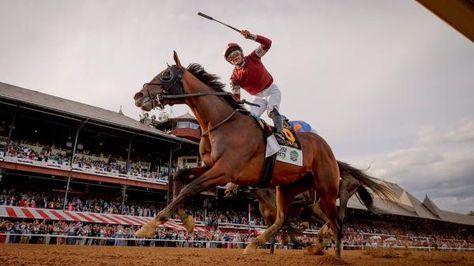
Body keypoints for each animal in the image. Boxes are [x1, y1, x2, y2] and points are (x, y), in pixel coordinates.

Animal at [133, 51, 340, 254]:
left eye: (166, 75)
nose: (138, 95)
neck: (222, 123)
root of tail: (325, 145)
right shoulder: (211, 166)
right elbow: (179, 175)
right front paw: (187, 220)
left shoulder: (224, 171)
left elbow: (189, 188)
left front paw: (150, 225)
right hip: (291, 188)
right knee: (289, 219)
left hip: (325, 189)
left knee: (334, 221)